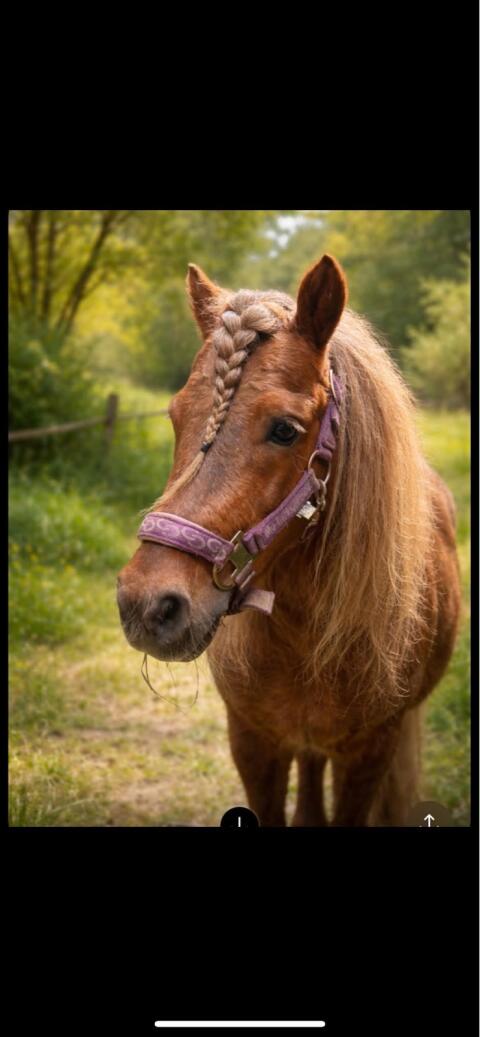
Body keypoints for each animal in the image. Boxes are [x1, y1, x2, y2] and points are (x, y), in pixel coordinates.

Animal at [117, 254, 461, 826]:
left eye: (285, 430)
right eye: (175, 416)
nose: (147, 605)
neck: (305, 633)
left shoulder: (369, 754)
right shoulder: (254, 743)